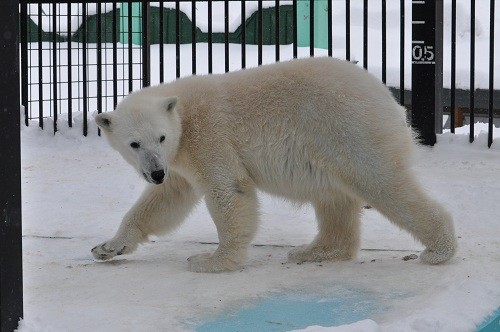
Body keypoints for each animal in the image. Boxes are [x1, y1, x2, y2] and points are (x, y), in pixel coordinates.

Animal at [93, 57, 458, 272]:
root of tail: (386, 95)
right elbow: (166, 199)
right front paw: (107, 247)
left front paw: (209, 260)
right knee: (334, 198)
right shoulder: (179, 162)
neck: (185, 110)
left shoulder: (209, 136)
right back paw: (312, 251)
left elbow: (229, 190)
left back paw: (438, 250)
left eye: (161, 137)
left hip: (348, 128)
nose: (155, 172)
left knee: (380, 181)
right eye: (134, 144)